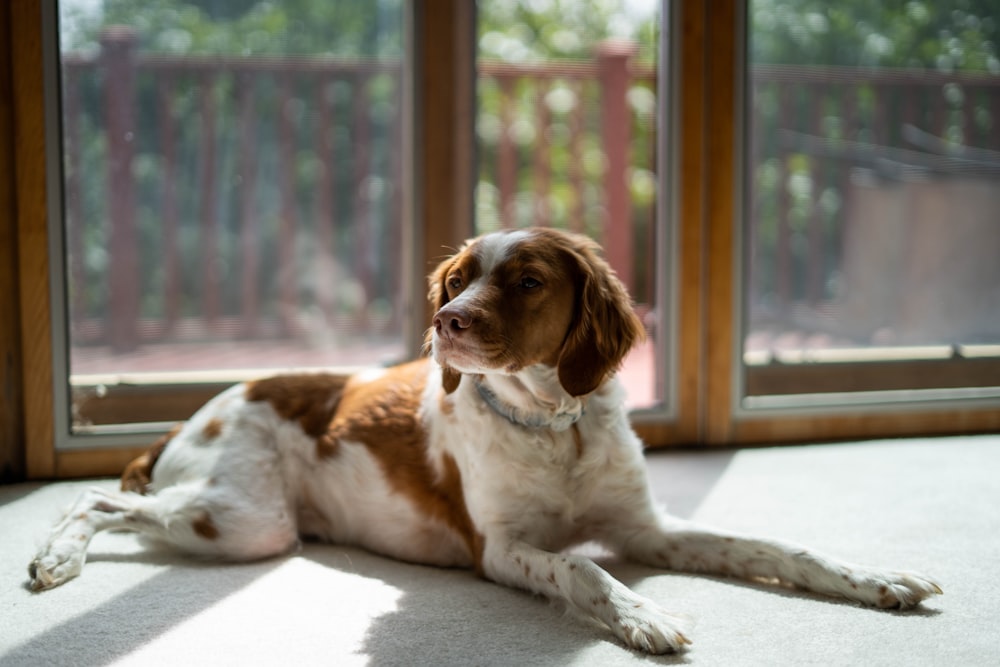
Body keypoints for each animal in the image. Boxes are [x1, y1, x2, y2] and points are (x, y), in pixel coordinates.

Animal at [27, 228, 940, 652]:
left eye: (528, 280)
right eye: (458, 279)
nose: (447, 322)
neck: (555, 425)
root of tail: (204, 405)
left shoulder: (649, 527)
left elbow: (777, 545)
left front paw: (878, 578)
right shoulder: (498, 549)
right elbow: (582, 566)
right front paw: (645, 615)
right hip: (244, 519)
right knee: (97, 496)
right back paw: (53, 559)